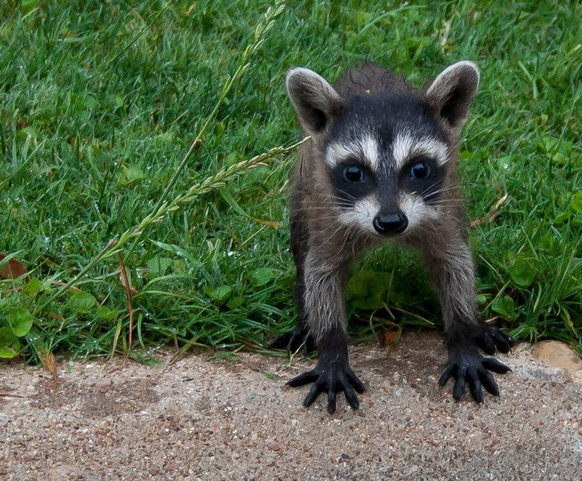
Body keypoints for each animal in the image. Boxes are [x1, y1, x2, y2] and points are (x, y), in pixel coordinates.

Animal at [274, 60, 516, 412]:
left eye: (418, 169)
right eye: (353, 172)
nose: (390, 222)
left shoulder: (443, 206)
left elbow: (454, 263)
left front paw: (464, 334)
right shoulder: (326, 208)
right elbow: (321, 272)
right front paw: (331, 348)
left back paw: (477, 324)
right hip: (304, 190)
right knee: (302, 253)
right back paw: (307, 322)